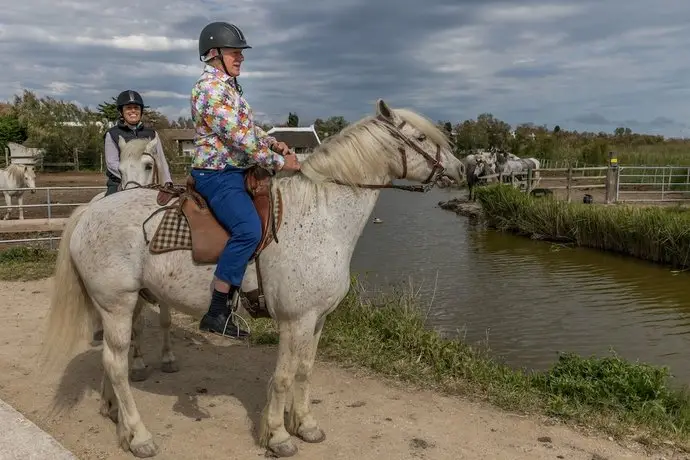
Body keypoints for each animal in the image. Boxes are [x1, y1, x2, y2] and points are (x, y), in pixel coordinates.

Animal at [39, 99, 462, 456]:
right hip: (118, 303)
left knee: (113, 360)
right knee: (115, 362)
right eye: (421, 138)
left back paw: (114, 413)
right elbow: (283, 376)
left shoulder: (318, 320)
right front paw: (278, 435)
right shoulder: (295, 320)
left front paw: (305, 425)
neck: (321, 216)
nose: (462, 169)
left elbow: (305, 371)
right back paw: (139, 435)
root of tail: (90, 211)